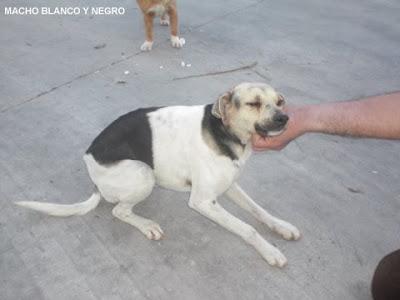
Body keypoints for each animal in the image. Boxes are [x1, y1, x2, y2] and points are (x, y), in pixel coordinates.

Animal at [18, 82, 300, 268]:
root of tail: (91, 168)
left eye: (280, 101)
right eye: (253, 104)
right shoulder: (203, 201)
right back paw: (146, 225)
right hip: (144, 173)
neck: (225, 132)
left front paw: (281, 227)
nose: (285, 119)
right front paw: (269, 251)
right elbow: (248, 229)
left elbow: (258, 211)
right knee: (119, 211)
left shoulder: (229, 185)